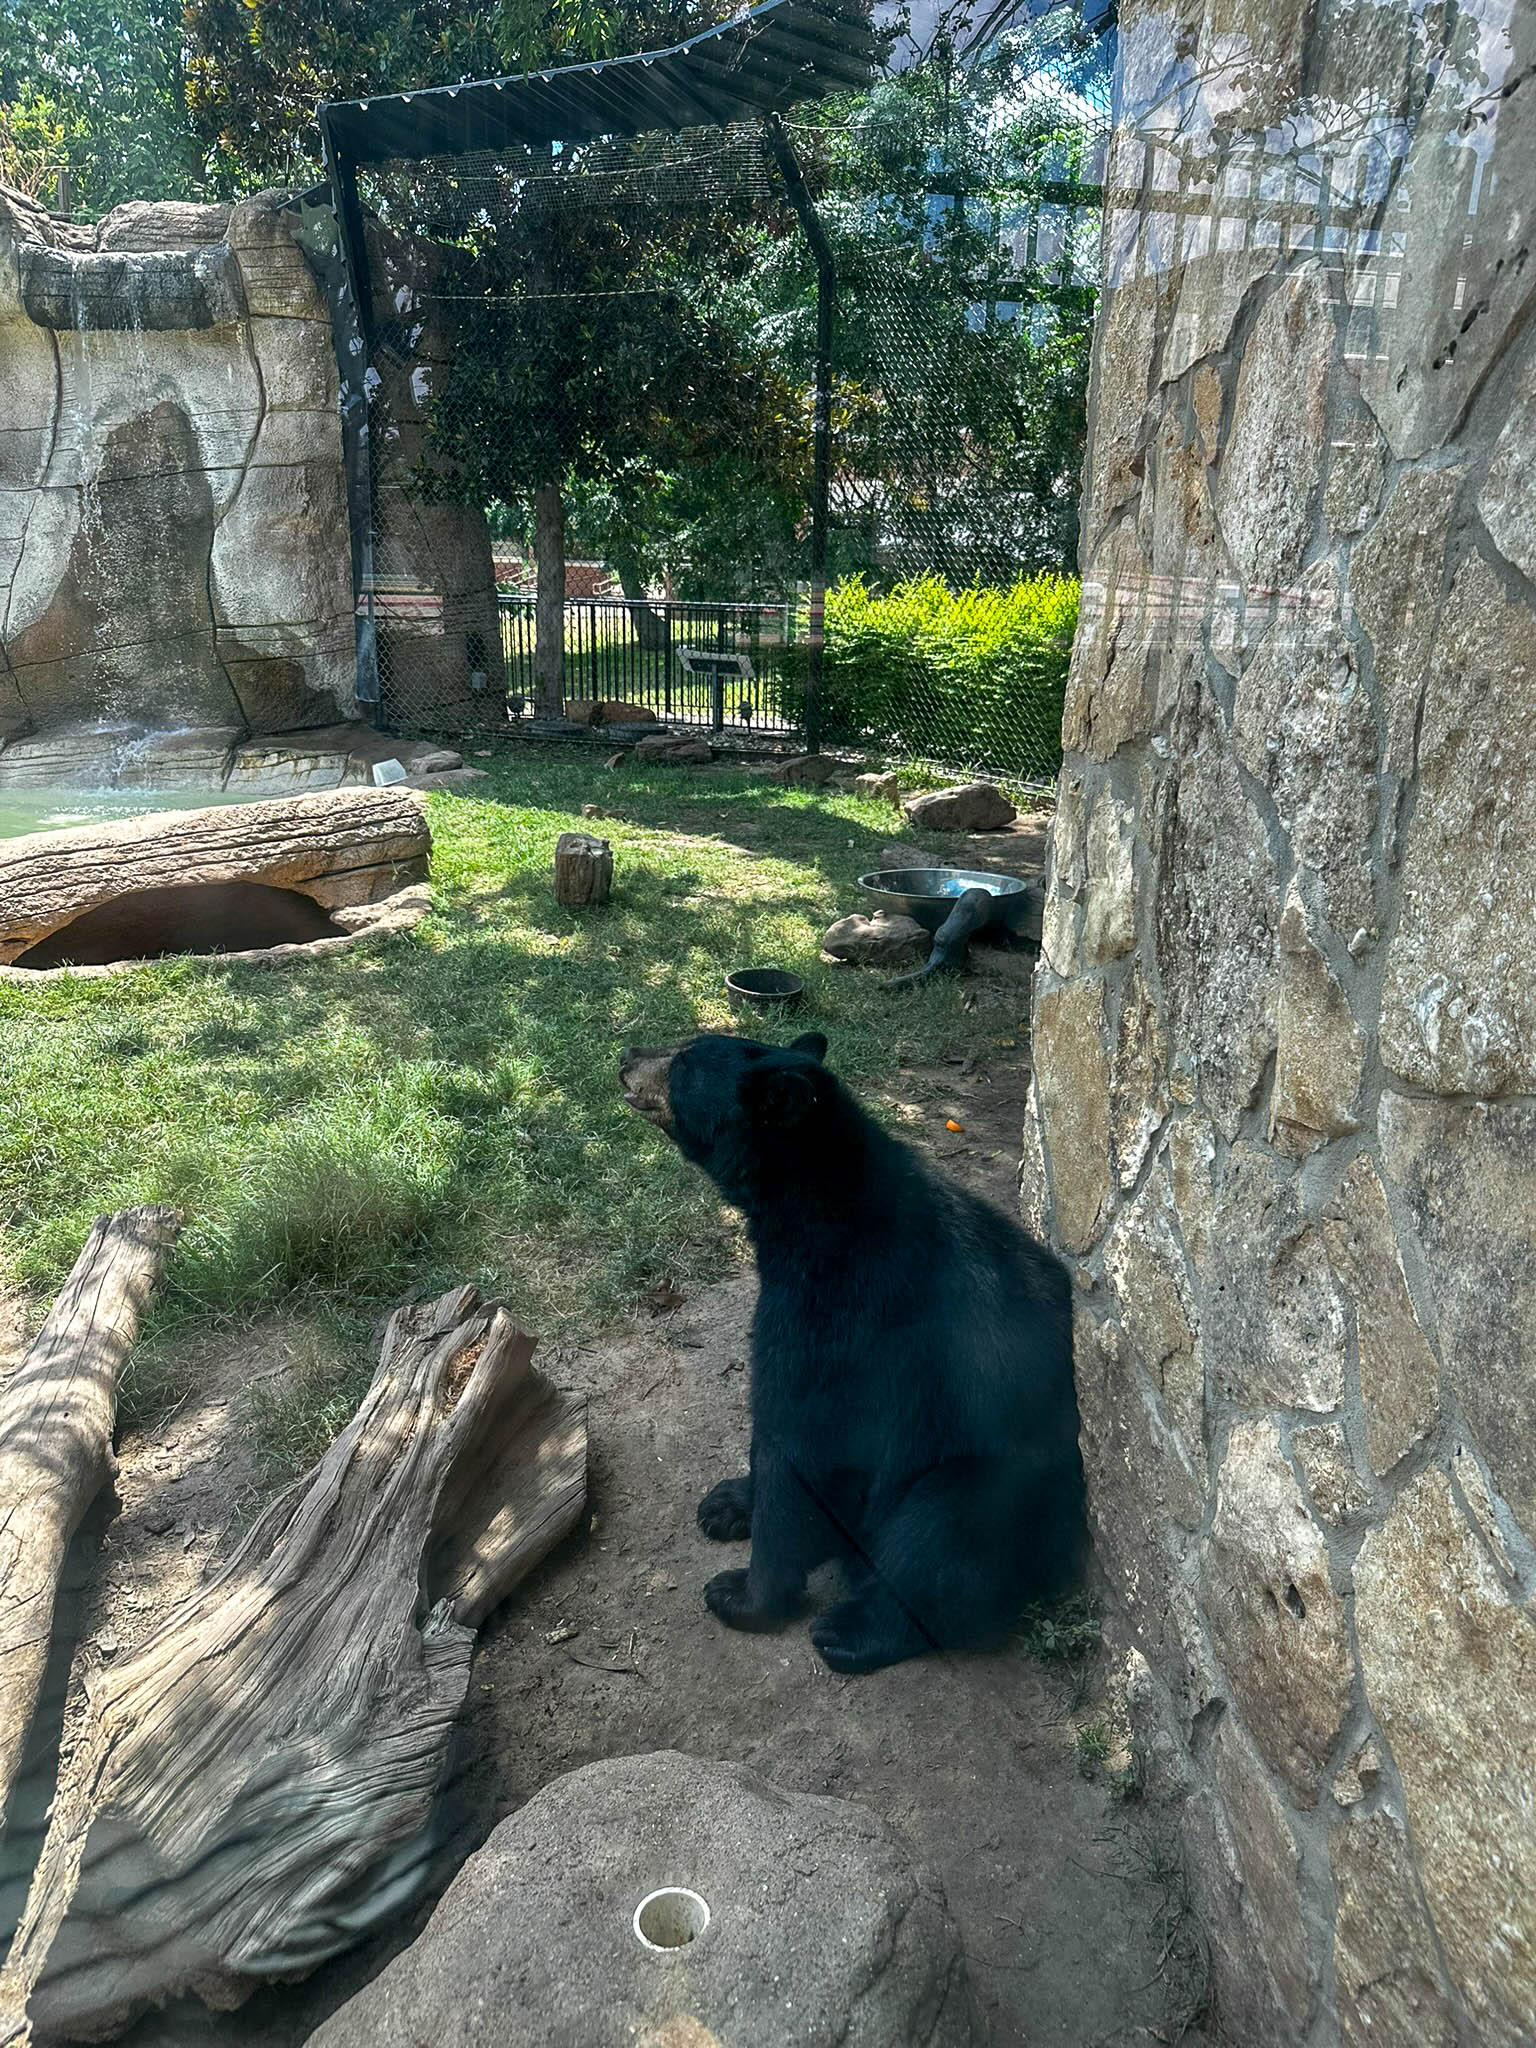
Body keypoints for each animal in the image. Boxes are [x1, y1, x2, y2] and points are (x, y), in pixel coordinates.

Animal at [618, 1032, 1089, 1671]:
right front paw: (728, 1501)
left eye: (685, 1062)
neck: (814, 1210)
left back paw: (853, 1630)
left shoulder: (840, 1316)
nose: (625, 1058)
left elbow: (802, 1443)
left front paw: (743, 1595)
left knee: (934, 1540)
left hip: (990, 1484)